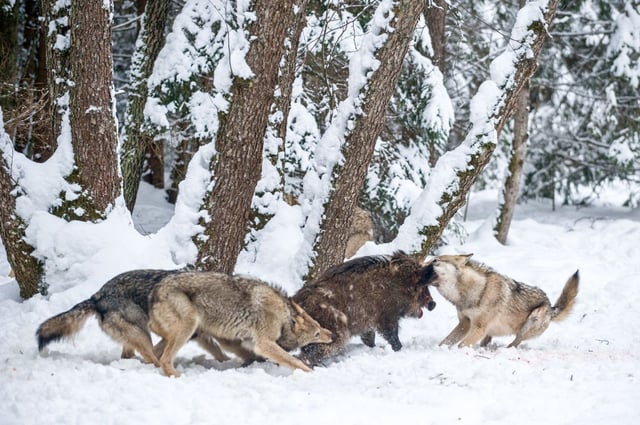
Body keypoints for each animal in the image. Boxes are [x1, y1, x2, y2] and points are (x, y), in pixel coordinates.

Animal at [36, 269, 235, 366]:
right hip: (142, 333)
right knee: (151, 358)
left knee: (130, 354)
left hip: (136, 334)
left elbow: (218, 351)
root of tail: (96, 296)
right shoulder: (193, 332)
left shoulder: (196, 334)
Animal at [147, 272, 333, 377]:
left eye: (319, 325)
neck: (283, 318)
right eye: (316, 334)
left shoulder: (242, 342)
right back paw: (177, 376)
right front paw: (311, 373)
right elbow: (294, 361)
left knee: (155, 353)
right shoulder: (264, 344)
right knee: (165, 359)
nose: (332, 335)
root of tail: (155, 291)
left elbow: (250, 355)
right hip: (189, 326)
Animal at [292, 251, 437, 367]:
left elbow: (370, 339)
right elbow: (392, 336)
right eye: (423, 286)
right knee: (308, 355)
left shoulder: (368, 324)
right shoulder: (386, 318)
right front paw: (398, 349)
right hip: (334, 335)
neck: (399, 285)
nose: (433, 304)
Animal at [428, 254, 579, 348]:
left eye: (435, 260)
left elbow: (460, 345)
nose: (422, 264)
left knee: (515, 344)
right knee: (488, 341)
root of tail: (551, 306)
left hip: (531, 320)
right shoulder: (464, 324)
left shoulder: (478, 328)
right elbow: (444, 342)